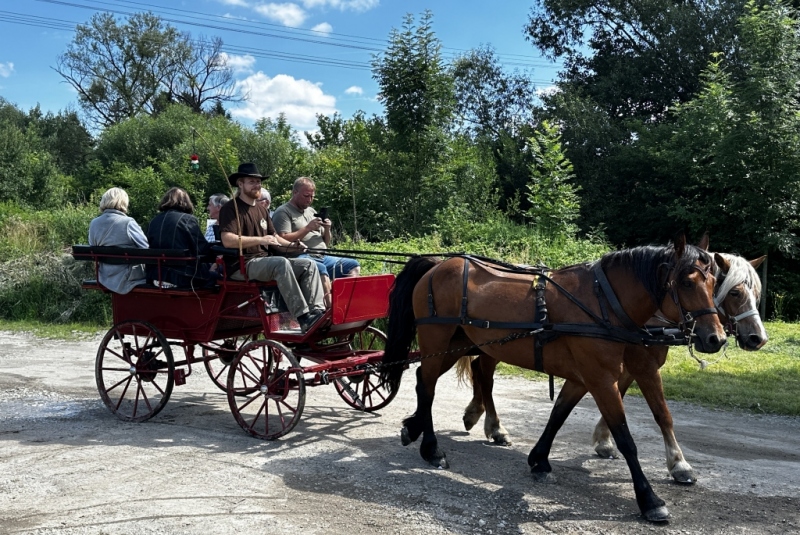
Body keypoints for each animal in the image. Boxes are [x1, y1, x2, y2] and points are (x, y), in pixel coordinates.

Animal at [382, 236, 724, 524]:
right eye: (686, 282)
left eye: (714, 281)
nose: (715, 338)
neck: (604, 303)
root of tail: (436, 266)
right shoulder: (602, 378)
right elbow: (626, 439)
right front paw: (650, 499)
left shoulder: (587, 377)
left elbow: (560, 413)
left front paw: (540, 460)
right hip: (438, 341)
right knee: (428, 385)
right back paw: (432, 450)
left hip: (458, 343)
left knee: (429, 379)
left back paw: (418, 428)